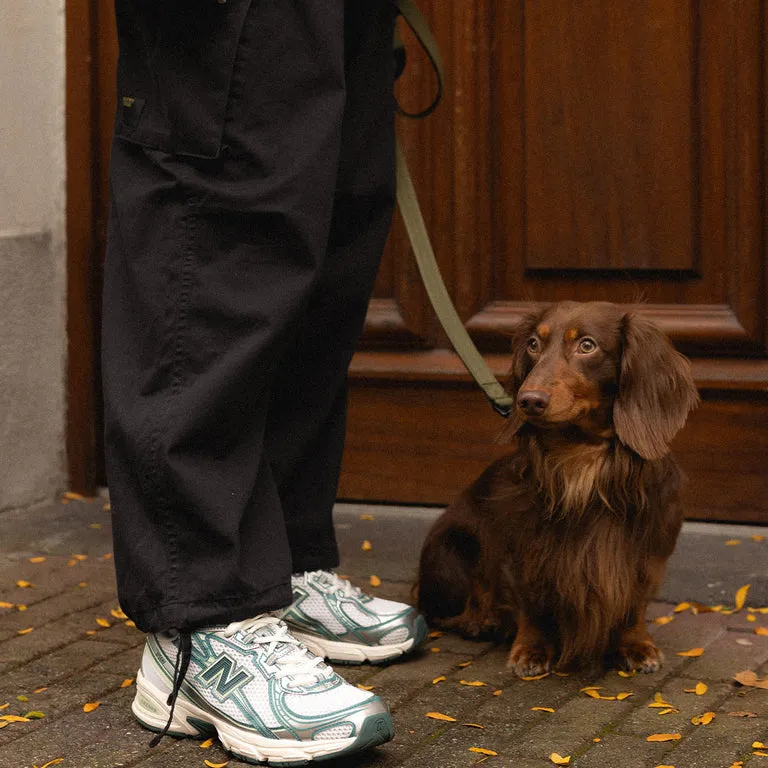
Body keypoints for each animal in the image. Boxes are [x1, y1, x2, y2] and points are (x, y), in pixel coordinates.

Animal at [416, 304, 700, 676]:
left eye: (587, 345)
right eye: (534, 344)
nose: (528, 400)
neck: (581, 457)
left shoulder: (646, 551)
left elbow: (634, 606)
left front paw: (637, 644)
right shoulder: (525, 550)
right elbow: (532, 604)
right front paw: (531, 648)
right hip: (451, 549)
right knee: (441, 610)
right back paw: (485, 620)